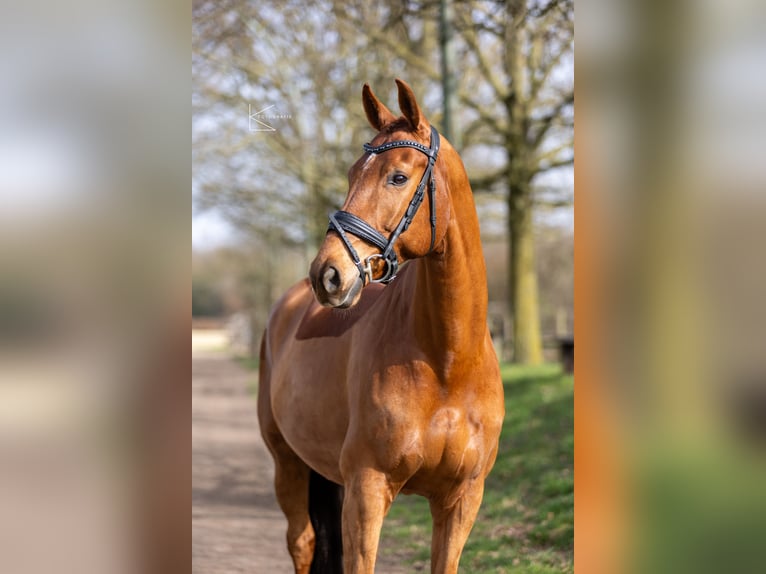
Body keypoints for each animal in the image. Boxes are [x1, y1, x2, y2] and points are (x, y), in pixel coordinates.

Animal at [257, 79, 504, 574]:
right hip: (287, 462)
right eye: (353, 174)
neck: (447, 363)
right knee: (302, 542)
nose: (328, 274)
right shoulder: (368, 491)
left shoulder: (461, 501)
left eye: (398, 177)